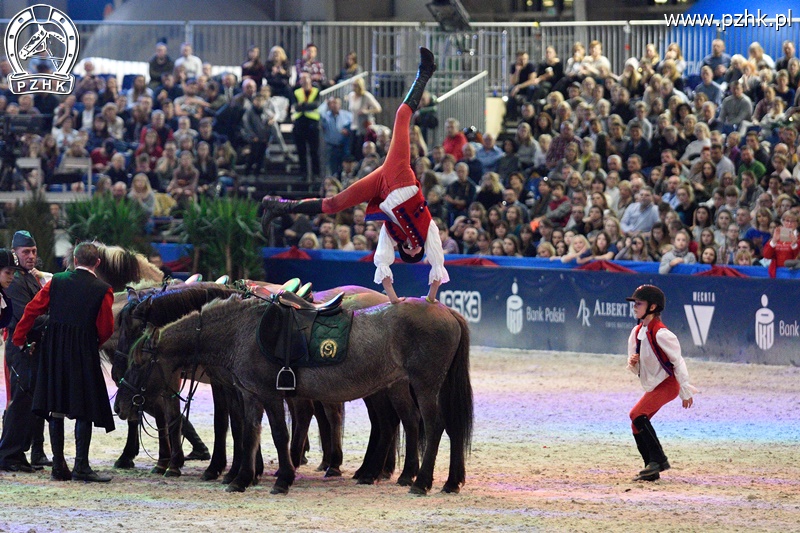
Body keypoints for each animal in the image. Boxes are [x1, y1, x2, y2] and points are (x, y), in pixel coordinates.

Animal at [121, 294, 472, 492]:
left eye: (137, 363)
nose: (121, 405)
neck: (240, 332)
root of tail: (446, 311)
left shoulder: (270, 396)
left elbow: (278, 435)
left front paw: (282, 479)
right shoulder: (249, 396)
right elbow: (248, 434)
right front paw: (241, 478)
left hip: (424, 386)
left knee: (433, 426)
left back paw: (421, 482)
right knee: (434, 426)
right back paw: (446, 481)